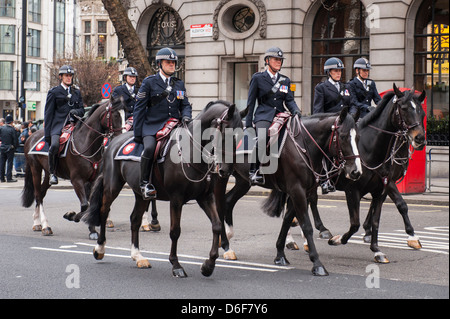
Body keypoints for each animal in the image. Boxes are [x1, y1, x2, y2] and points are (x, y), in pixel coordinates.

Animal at [21, 99, 125, 239]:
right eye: (116, 115)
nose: (122, 137)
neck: (85, 142)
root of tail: (31, 136)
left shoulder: (93, 180)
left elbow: (91, 204)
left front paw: (92, 230)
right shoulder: (77, 180)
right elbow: (85, 205)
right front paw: (71, 216)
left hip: (48, 172)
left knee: (41, 193)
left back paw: (37, 222)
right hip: (35, 169)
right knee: (38, 195)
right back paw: (45, 226)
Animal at [81, 101, 243, 278]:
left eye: (240, 136)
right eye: (226, 134)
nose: (226, 170)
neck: (190, 151)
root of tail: (113, 142)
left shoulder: (205, 197)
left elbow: (217, 225)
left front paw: (208, 265)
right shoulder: (176, 199)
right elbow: (175, 231)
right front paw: (176, 265)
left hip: (140, 194)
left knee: (135, 219)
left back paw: (138, 256)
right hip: (112, 186)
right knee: (104, 211)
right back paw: (100, 248)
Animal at [274, 85, 426, 264]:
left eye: (422, 113)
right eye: (404, 108)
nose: (419, 138)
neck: (370, 148)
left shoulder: (382, 188)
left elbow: (376, 219)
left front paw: (376, 249)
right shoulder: (354, 190)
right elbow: (356, 223)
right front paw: (338, 239)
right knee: (300, 204)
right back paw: (296, 238)